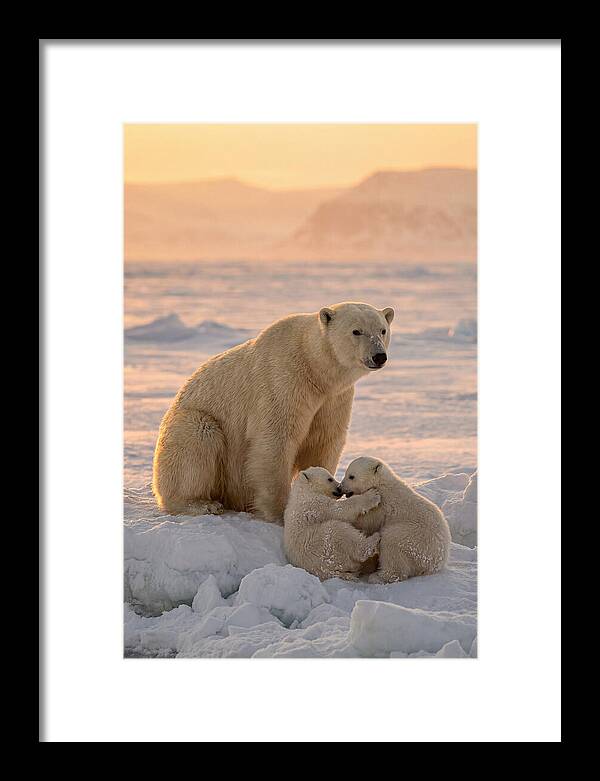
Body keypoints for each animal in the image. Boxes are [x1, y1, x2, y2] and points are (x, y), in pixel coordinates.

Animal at [152, 302, 394, 522]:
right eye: (356, 331)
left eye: (382, 330)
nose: (379, 356)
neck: (314, 369)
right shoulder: (283, 381)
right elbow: (275, 440)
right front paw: (280, 512)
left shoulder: (333, 398)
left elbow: (323, 440)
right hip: (192, 423)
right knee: (197, 439)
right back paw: (202, 504)